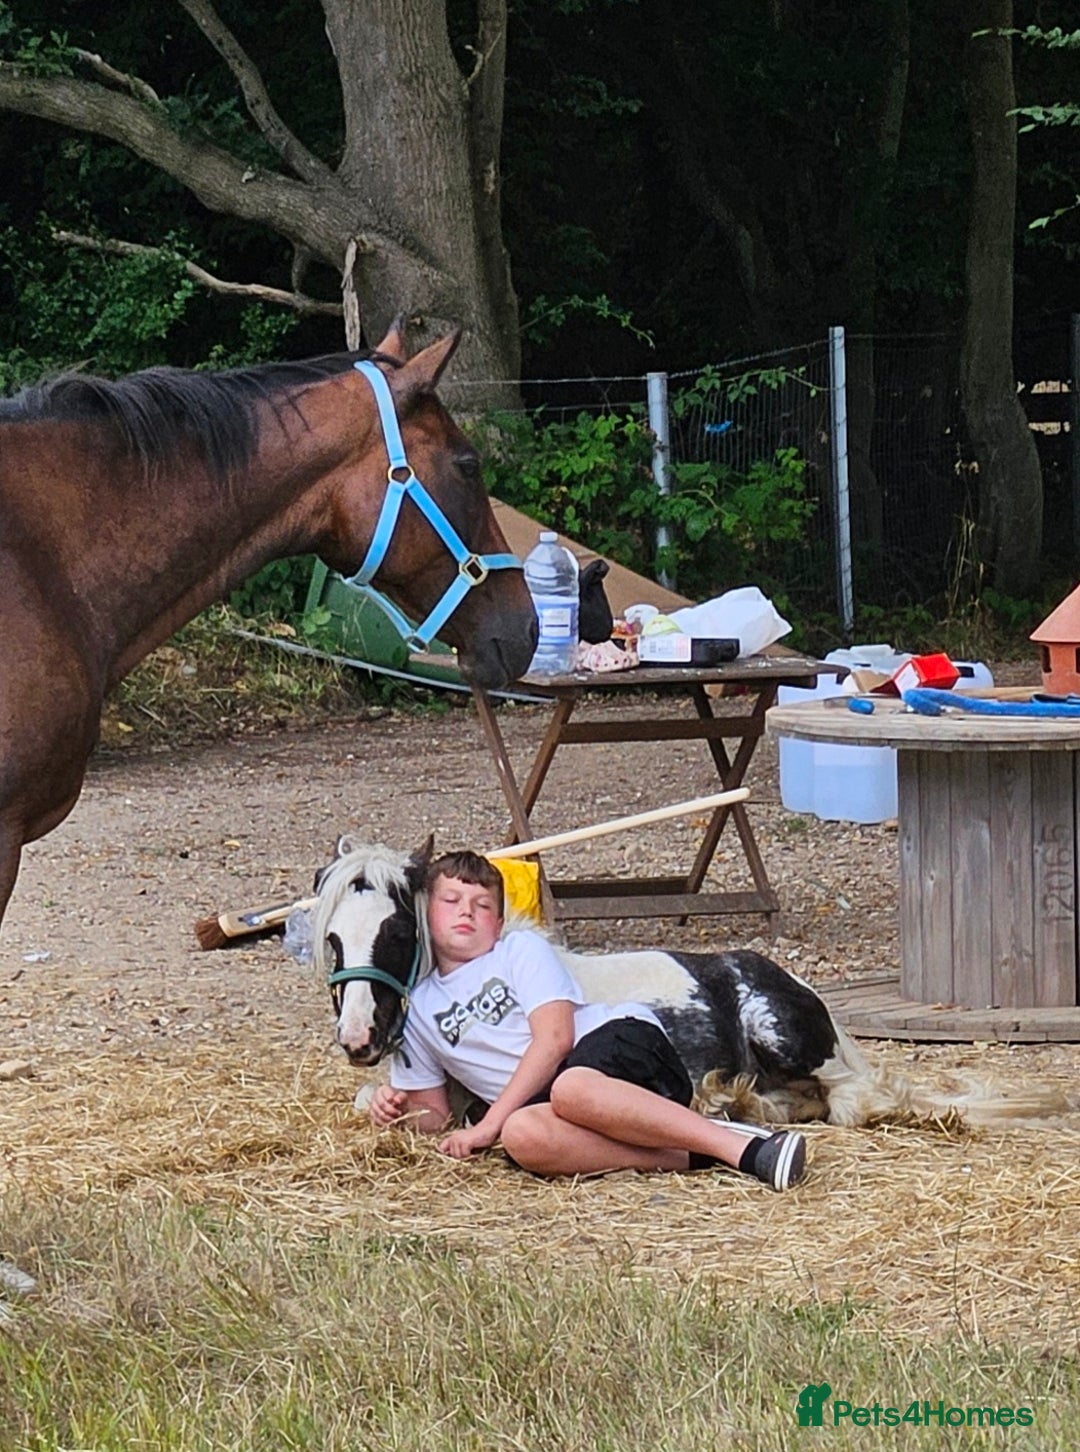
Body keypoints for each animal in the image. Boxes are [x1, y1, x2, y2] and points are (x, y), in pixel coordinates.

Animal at [310, 837, 1067, 1128]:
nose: (358, 1038)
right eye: (333, 938)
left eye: (397, 932)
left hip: (787, 1036)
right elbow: (372, 1103)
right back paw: (738, 1101)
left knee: (849, 1100)